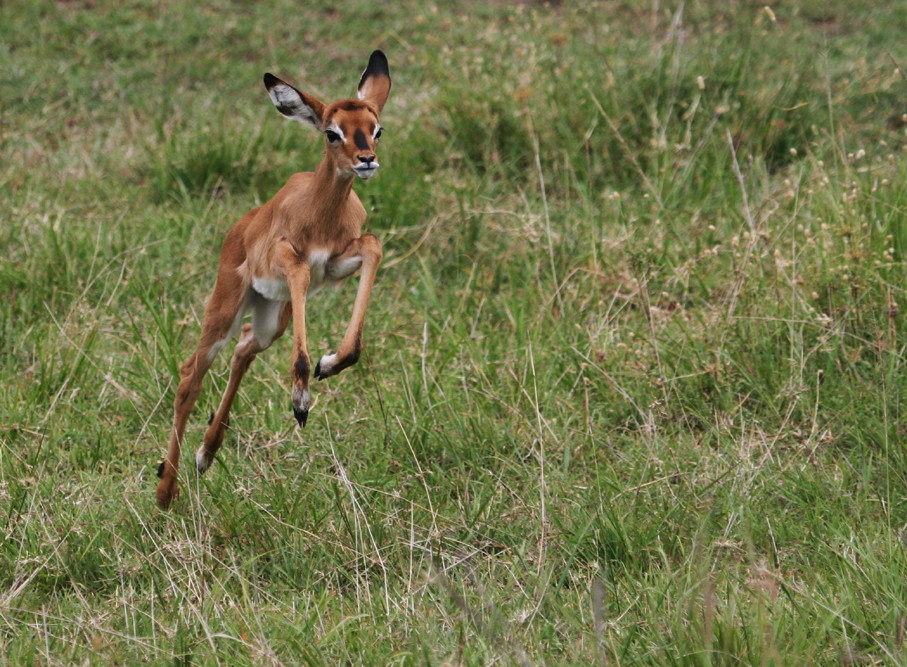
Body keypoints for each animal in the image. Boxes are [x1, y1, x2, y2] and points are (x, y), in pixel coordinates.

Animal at [156, 51, 390, 512]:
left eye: (376, 128)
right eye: (332, 132)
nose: (366, 159)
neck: (320, 214)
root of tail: (239, 227)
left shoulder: (338, 264)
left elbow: (373, 245)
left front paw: (328, 363)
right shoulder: (289, 260)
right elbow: (300, 269)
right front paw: (301, 399)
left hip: (270, 317)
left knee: (245, 348)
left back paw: (206, 454)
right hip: (226, 307)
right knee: (191, 374)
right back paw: (166, 490)